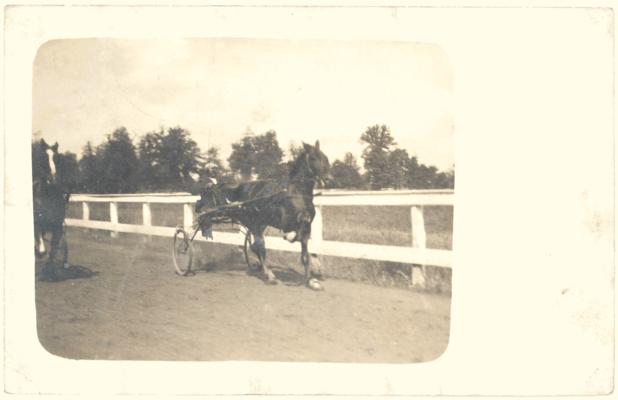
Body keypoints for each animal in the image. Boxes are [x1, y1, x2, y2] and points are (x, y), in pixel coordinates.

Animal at [196, 141, 330, 288]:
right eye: (314, 158)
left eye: (325, 157)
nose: (328, 178)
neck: (297, 194)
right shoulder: (287, 223)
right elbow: (293, 236)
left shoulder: (306, 226)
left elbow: (306, 253)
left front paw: (312, 279)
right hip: (252, 222)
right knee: (259, 246)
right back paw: (269, 275)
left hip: (261, 223)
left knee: (257, 245)